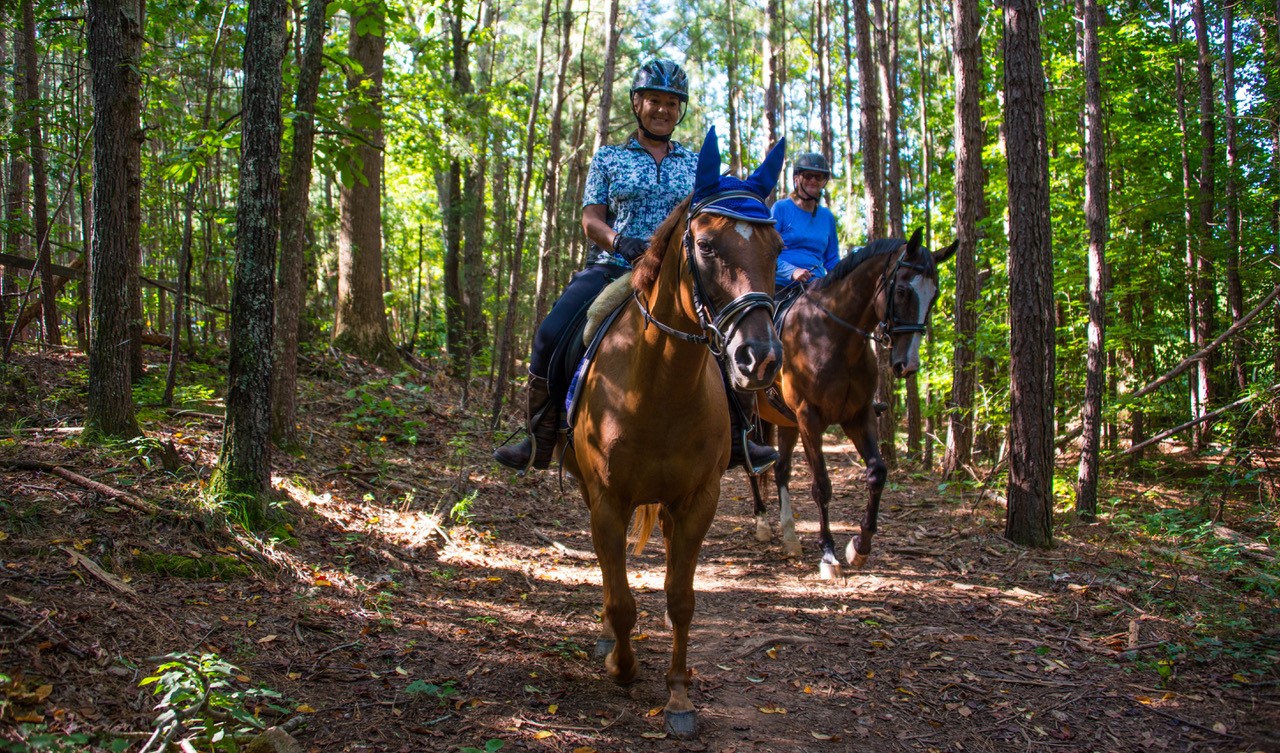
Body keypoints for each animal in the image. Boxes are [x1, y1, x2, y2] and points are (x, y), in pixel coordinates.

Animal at [565, 128, 783, 737]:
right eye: (706, 246)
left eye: (778, 248)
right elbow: (620, 599)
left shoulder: (697, 500)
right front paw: (622, 665)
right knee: (609, 576)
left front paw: (680, 696)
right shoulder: (607, 500)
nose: (759, 359)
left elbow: (680, 598)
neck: (658, 385)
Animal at [752, 231, 957, 578]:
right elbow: (822, 485)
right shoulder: (810, 418)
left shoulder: (858, 417)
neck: (833, 338)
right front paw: (828, 555)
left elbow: (877, 473)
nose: (908, 365)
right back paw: (762, 523)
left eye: (935, 295)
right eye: (902, 290)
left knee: (780, 470)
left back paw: (790, 536)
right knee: (752, 467)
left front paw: (859, 547)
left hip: (785, 420)